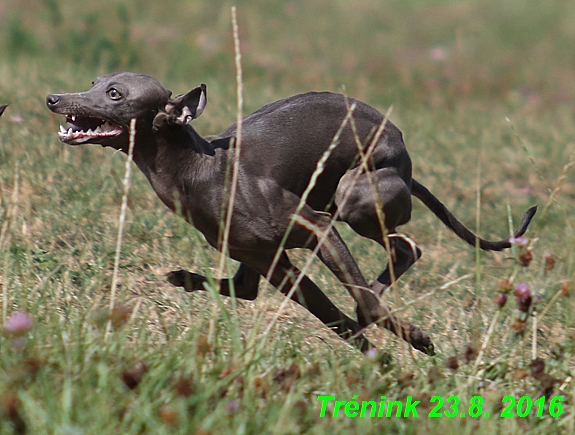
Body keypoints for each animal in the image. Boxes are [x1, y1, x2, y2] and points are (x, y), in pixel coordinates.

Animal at [47, 73, 536, 356]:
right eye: (96, 81)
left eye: (114, 94)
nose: (53, 98)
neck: (202, 169)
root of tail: (407, 162)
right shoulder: (272, 263)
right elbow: (330, 317)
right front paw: (379, 358)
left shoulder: (315, 230)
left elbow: (359, 305)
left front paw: (413, 338)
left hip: (354, 197)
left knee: (405, 248)